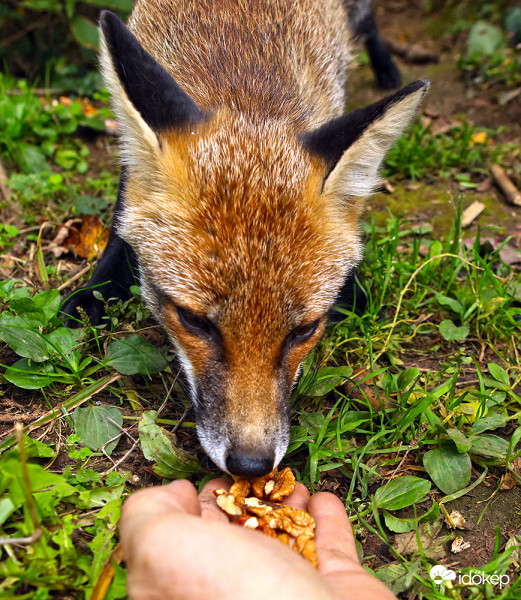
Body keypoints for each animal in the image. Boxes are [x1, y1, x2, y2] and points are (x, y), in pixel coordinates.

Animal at [61, 0, 426, 478]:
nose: (251, 464)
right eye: (193, 320)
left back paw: (386, 68)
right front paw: (96, 291)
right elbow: (124, 212)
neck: (245, 80)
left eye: (305, 330)